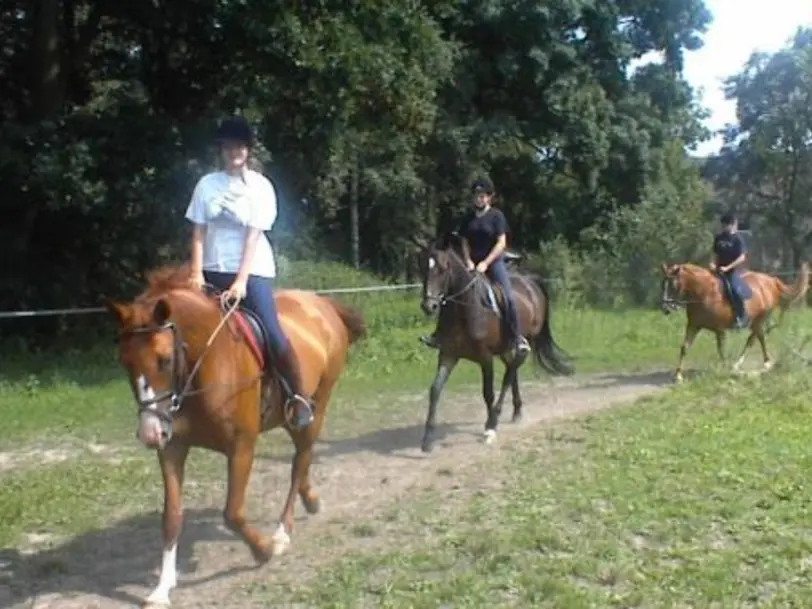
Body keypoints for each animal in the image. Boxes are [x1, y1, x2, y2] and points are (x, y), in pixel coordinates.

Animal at [104, 262, 364, 608]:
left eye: (165, 359)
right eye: (123, 361)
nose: (149, 433)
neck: (202, 366)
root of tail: (322, 303)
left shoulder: (241, 446)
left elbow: (232, 512)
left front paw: (264, 549)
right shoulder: (172, 446)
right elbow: (171, 517)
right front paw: (161, 589)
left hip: (316, 406)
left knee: (299, 461)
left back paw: (282, 531)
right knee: (303, 457)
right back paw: (310, 500)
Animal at [416, 232, 576, 452]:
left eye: (443, 268)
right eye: (423, 266)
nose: (428, 306)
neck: (466, 310)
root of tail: (530, 281)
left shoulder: (485, 358)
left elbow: (488, 393)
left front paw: (490, 427)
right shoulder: (448, 354)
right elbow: (435, 390)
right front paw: (427, 439)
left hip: (523, 341)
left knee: (511, 373)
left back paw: (500, 415)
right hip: (505, 349)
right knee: (512, 370)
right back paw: (516, 411)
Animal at [660, 260, 804, 380]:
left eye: (673, 285)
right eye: (663, 285)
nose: (665, 308)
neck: (704, 293)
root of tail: (772, 281)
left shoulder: (719, 329)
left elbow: (721, 349)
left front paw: (725, 369)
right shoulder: (693, 326)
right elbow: (684, 347)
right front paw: (678, 375)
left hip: (759, 320)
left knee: (755, 339)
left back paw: (759, 363)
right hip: (755, 322)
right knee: (755, 338)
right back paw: (744, 364)